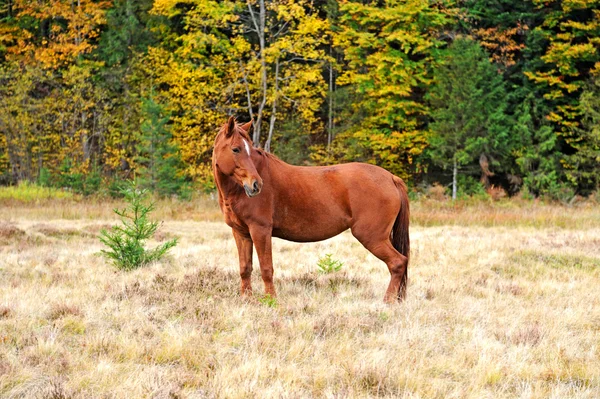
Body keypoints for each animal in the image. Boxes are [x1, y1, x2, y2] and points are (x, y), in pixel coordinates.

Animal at [209, 117, 410, 304]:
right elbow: (245, 268)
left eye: (250, 149)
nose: (256, 185)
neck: (236, 191)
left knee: (397, 263)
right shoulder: (241, 233)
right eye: (236, 149)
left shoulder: (260, 230)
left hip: (372, 237)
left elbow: (266, 268)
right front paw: (247, 299)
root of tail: (391, 178)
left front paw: (271, 300)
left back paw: (387, 302)